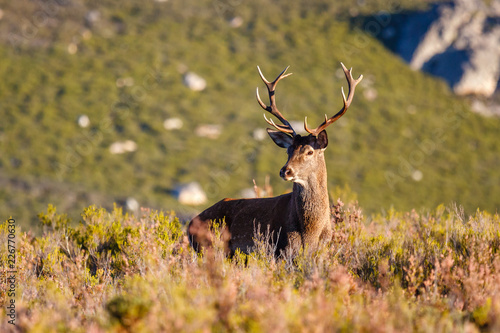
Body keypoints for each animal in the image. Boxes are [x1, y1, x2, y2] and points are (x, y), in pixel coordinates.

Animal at [186, 62, 362, 255]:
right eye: (288, 151)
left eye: (310, 152)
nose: (285, 171)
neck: (310, 233)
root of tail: (189, 225)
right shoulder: (281, 249)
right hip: (210, 246)